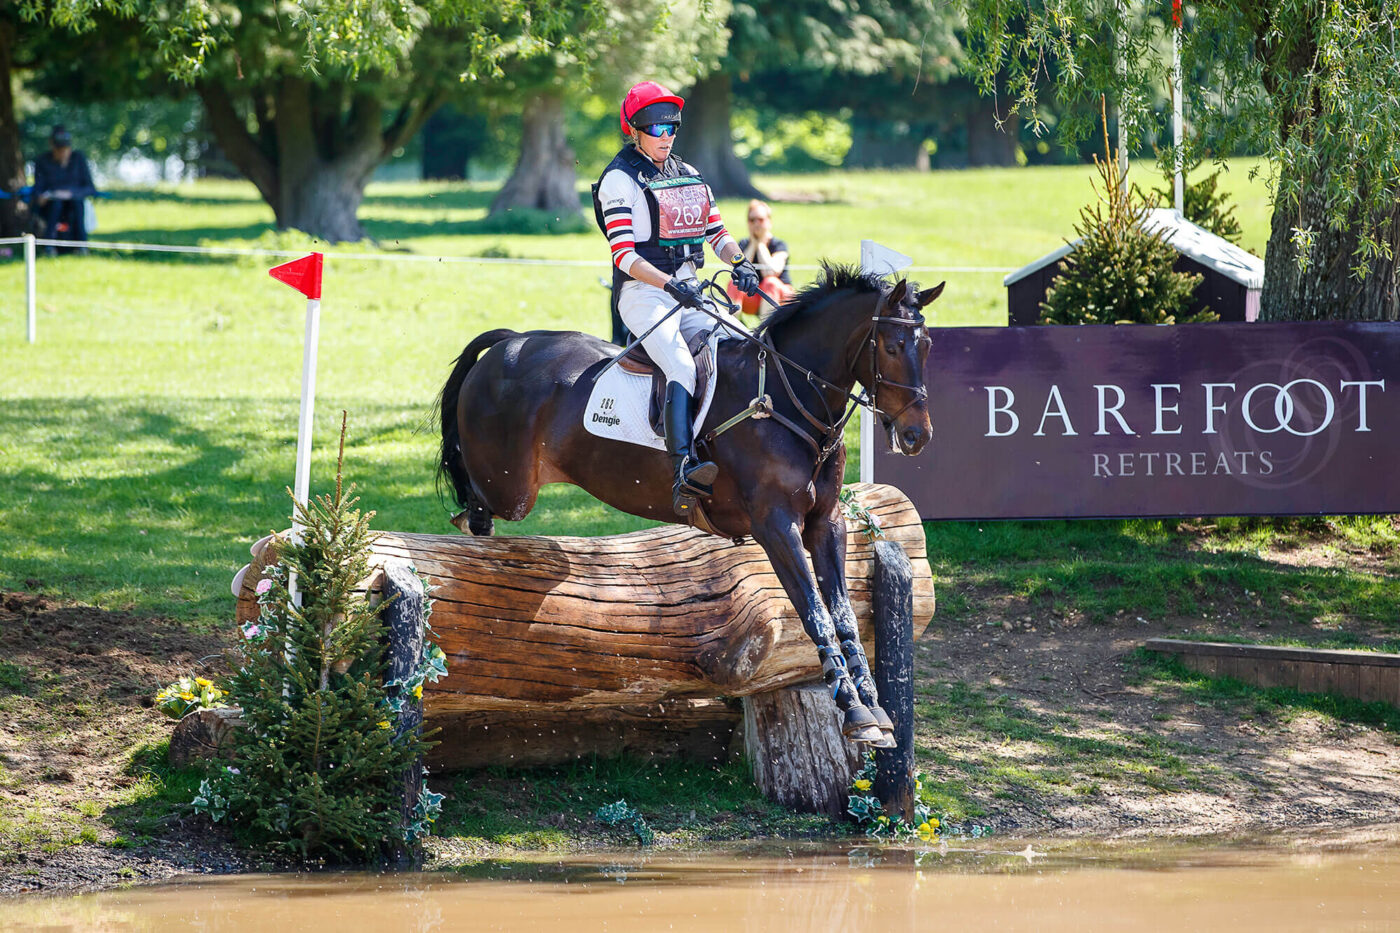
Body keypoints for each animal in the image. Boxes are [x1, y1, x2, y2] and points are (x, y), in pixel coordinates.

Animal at [436, 264, 940, 745]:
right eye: (892, 346)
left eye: (927, 345)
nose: (917, 436)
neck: (786, 397)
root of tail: (511, 343)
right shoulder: (776, 526)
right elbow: (815, 613)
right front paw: (853, 708)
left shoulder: (826, 523)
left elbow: (843, 615)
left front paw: (872, 706)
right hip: (510, 489)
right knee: (472, 506)